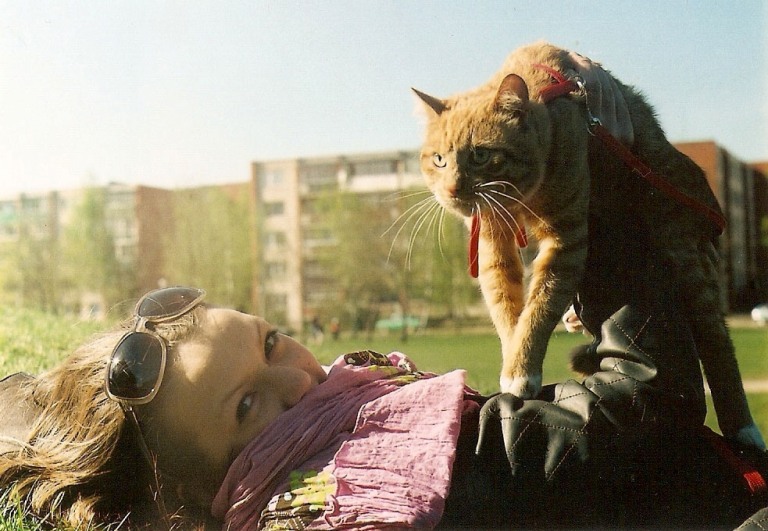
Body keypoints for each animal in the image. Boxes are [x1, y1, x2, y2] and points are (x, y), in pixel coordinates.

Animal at [413, 41, 763, 447]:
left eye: (481, 155)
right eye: (439, 160)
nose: (452, 190)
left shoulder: (565, 239)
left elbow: (539, 307)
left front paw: (521, 371)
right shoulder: (493, 242)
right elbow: (506, 308)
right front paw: (514, 359)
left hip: (683, 251)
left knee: (717, 342)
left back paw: (745, 428)